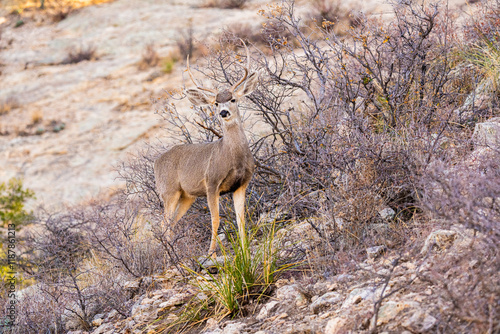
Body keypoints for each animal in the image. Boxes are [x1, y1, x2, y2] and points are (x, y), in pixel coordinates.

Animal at [154, 41, 258, 260]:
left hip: (187, 196)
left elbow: (241, 219)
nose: (223, 112)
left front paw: (245, 250)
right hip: (169, 191)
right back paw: (169, 259)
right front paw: (211, 253)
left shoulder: (241, 184)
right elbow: (215, 219)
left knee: (172, 223)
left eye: (233, 99)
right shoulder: (211, 183)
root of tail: (156, 162)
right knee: (163, 224)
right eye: (216, 102)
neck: (233, 158)